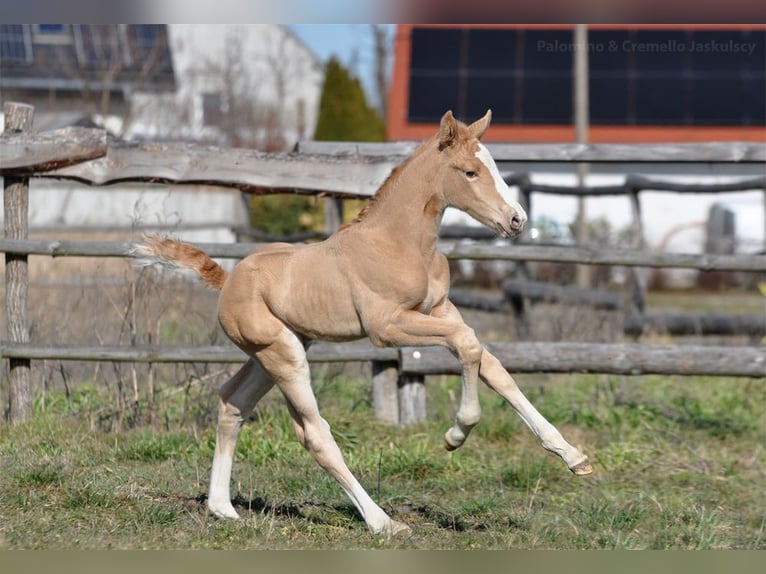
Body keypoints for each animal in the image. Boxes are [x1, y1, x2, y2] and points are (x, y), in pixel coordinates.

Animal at [135, 110, 592, 537]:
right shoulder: (388, 327)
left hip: (278, 351)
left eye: (494, 165)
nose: (517, 220)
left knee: (233, 402)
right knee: (314, 434)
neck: (399, 243)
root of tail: (226, 280)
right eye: (470, 172)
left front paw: (573, 456)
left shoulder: (440, 310)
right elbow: (467, 343)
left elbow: (494, 366)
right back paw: (382, 521)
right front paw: (456, 435)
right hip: (283, 354)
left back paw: (223, 509)